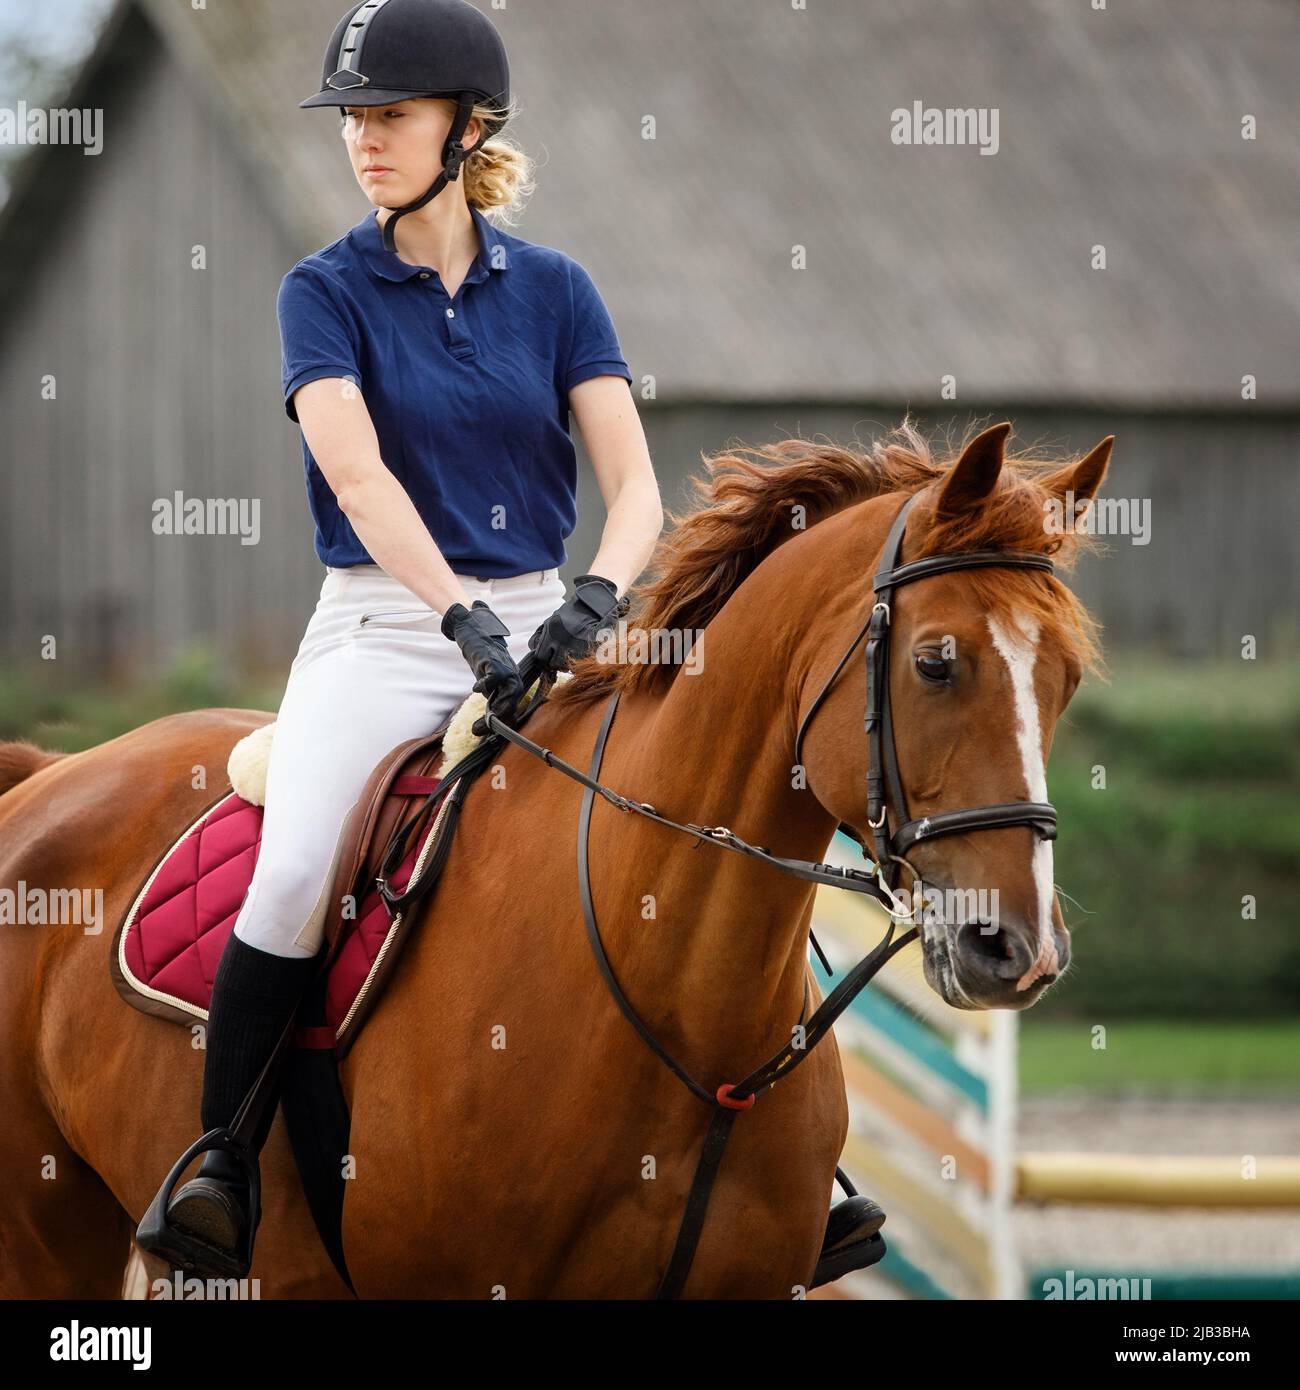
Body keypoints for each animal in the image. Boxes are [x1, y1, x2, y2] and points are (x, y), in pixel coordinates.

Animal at [0, 417, 1112, 1295]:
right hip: (46, 1239)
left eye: (1063, 678)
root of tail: (50, 775)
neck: (676, 1005)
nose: (1016, 951)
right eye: (935, 662)